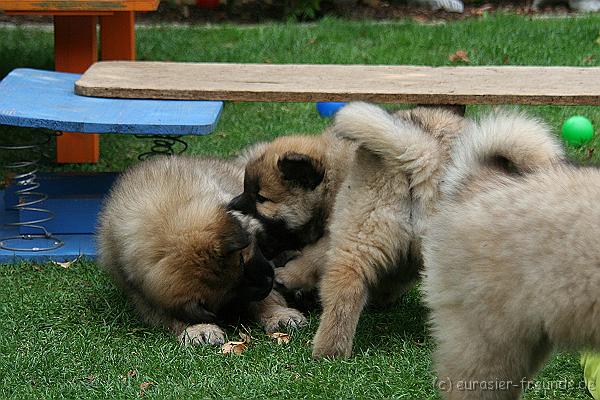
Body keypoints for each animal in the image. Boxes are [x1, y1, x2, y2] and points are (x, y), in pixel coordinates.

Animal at [99, 155, 308, 346]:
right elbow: (172, 315)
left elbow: (269, 298)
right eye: (231, 292)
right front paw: (199, 329)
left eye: (242, 260)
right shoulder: (145, 298)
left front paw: (279, 315)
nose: (268, 281)